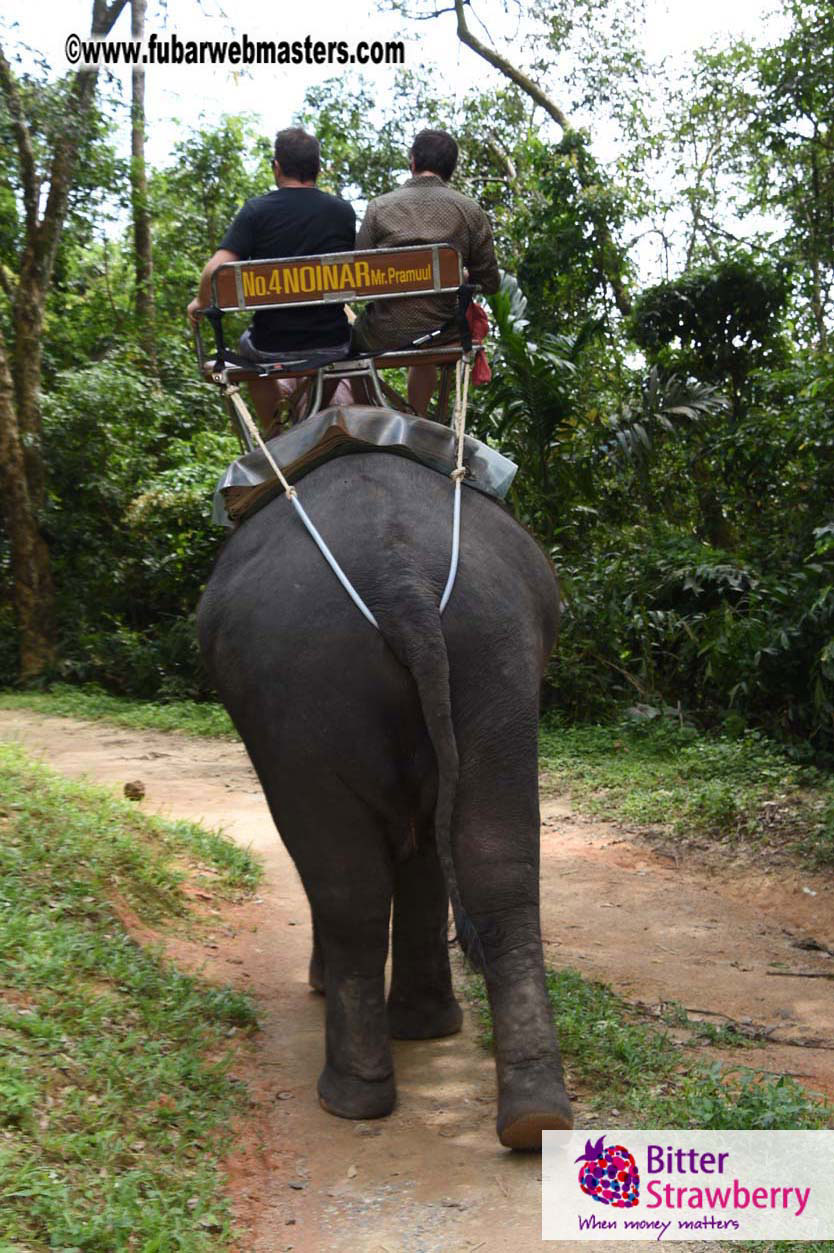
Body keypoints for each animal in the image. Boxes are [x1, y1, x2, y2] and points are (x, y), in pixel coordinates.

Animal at [197, 448, 574, 1149]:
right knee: (498, 864)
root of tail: (402, 582)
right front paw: (427, 1029)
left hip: (300, 678)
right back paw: (534, 1117)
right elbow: (430, 849)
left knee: (346, 881)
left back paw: (349, 1097)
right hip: (495, 653)